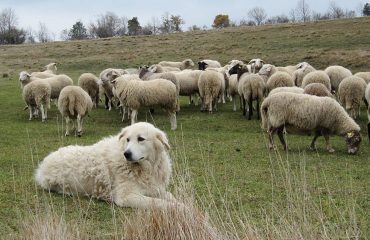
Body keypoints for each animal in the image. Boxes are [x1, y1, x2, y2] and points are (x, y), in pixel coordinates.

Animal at [35, 122, 178, 208]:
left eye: (141, 139)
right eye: (127, 139)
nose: (126, 154)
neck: (145, 168)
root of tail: (43, 164)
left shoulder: (153, 188)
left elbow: (170, 196)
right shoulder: (126, 197)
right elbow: (160, 203)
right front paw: (180, 208)